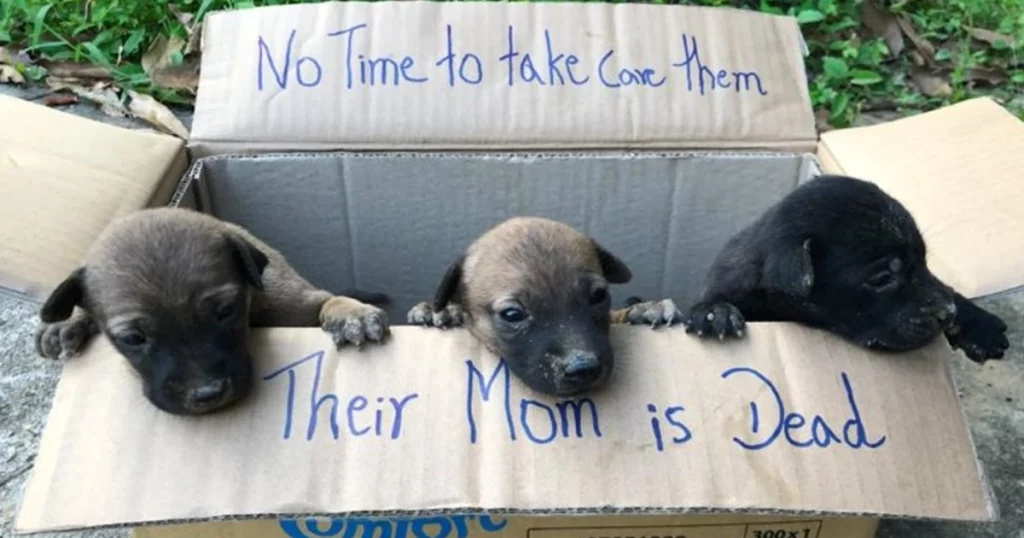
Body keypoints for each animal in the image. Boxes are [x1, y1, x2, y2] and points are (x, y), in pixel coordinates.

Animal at [35, 208, 387, 414]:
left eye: (226, 310)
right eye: (133, 338)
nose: (207, 395)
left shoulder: (291, 301)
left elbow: (326, 300)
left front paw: (350, 313)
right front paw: (70, 321)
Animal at [675, 174, 1003, 362]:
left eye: (924, 260)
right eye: (882, 279)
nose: (947, 313)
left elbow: (941, 283)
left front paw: (978, 323)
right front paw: (714, 312)